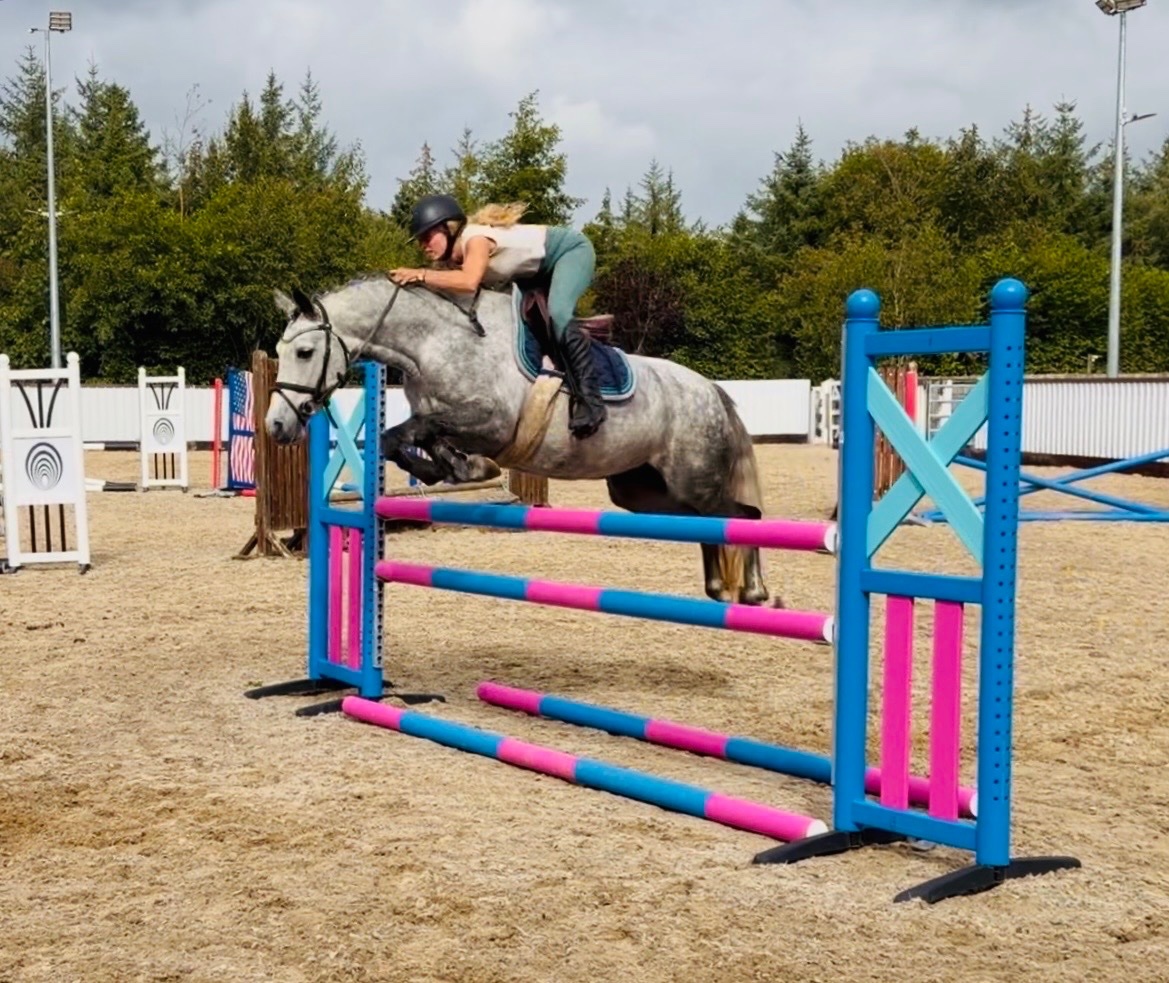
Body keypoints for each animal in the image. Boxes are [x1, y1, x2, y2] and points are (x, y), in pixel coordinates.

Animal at [264, 277, 777, 607]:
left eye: (305, 352)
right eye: (278, 353)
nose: (276, 426)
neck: (433, 343)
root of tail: (710, 389)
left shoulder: (490, 422)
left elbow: (408, 432)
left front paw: (466, 468)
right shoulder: (449, 421)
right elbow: (406, 440)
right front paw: (454, 468)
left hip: (694, 479)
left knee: (741, 517)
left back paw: (754, 593)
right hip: (643, 492)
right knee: (709, 524)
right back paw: (719, 589)